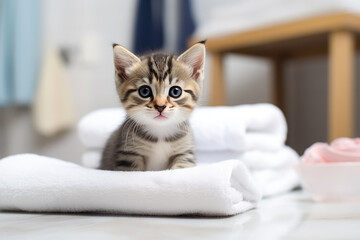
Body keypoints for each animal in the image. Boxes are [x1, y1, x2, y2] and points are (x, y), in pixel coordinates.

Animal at [99, 42, 205, 172]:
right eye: (144, 91)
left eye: (175, 91)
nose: (160, 106)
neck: (160, 134)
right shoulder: (128, 155)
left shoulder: (185, 153)